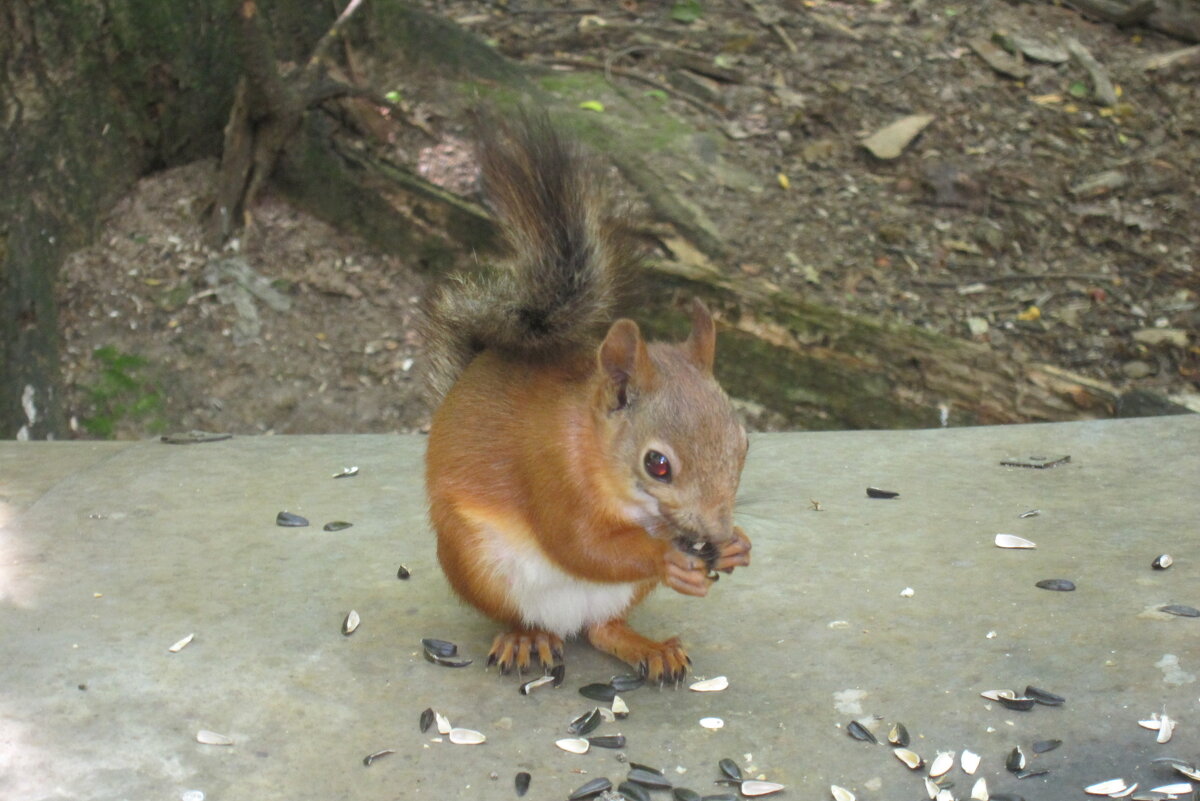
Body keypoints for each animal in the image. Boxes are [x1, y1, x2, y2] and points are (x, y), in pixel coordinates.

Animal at [422, 112, 748, 681]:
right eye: (658, 464)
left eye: (744, 444)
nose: (715, 532)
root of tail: (564, 621)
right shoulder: (548, 470)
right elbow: (579, 543)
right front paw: (669, 557)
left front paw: (738, 547)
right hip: (477, 562)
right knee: (522, 614)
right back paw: (527, 638)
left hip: (620, 598)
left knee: (603, 629)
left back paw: (647, 647)